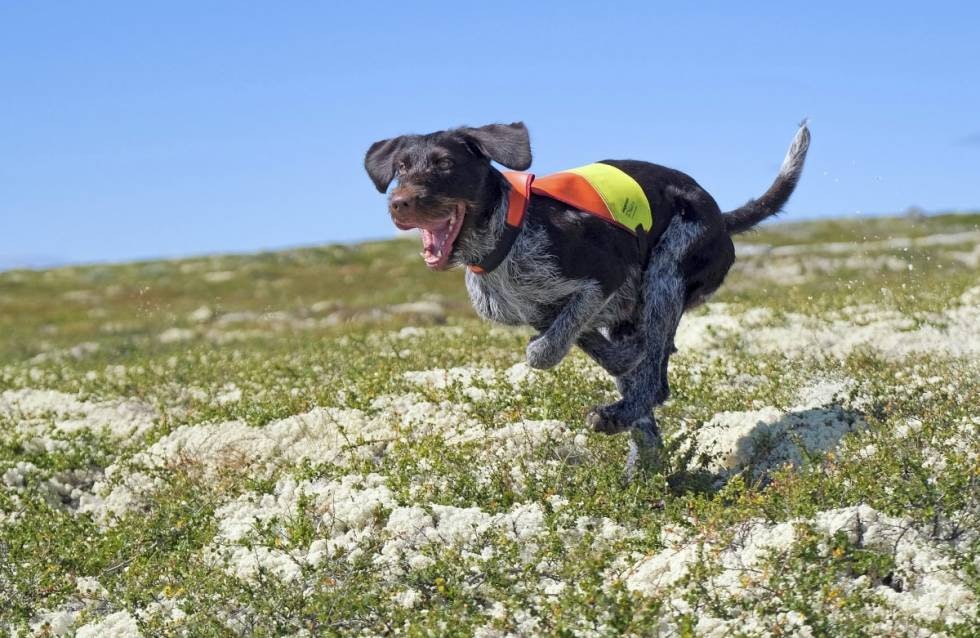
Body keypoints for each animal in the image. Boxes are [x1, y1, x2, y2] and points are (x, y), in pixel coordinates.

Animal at [364, 119, 808, 460]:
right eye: (401, 167)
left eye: (445, 164)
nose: (400, 203)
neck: (504, 237)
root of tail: (720, 217)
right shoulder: (542, 313)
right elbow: (574, 340)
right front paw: (623, 357)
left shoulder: (608, 274)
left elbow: (543, 351)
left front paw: (627, 358)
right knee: (647, 384)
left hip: (667, 269)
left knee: (655, 382)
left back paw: (620, 415)